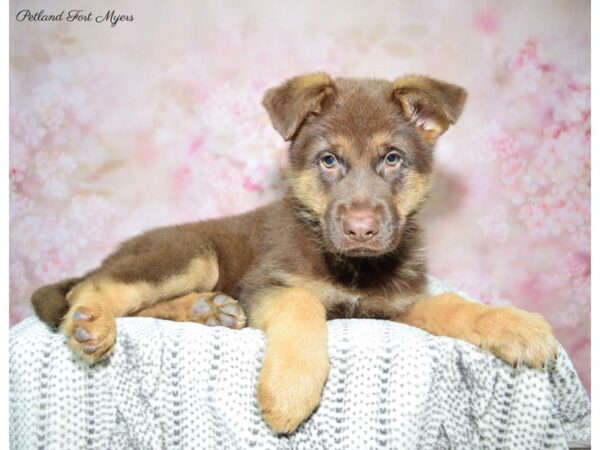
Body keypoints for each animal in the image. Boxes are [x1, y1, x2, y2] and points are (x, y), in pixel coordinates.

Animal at [30, 73, 556, 432]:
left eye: (392, 159)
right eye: (329, 160)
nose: (361, 229)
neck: (352, 268)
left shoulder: (395, 306)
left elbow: (453, 304)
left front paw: (516, 325)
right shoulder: (266, 283)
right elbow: (304, 303)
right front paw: (290, 391)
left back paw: (208, 310)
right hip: (191, 253)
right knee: (93, 286)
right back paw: (93, 323)